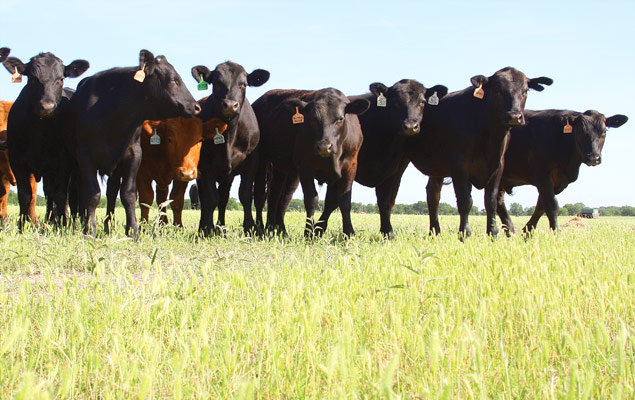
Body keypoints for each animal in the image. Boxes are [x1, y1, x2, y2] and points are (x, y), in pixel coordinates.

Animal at [500, 109, 628, 234]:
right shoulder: (542, 176)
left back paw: (509, 231)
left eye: (604, 132)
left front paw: (528, 231)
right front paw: (556, 233)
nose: (593, 157)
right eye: (580, 132)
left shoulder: (558, 182)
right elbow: (552, 205)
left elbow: (541, 206)